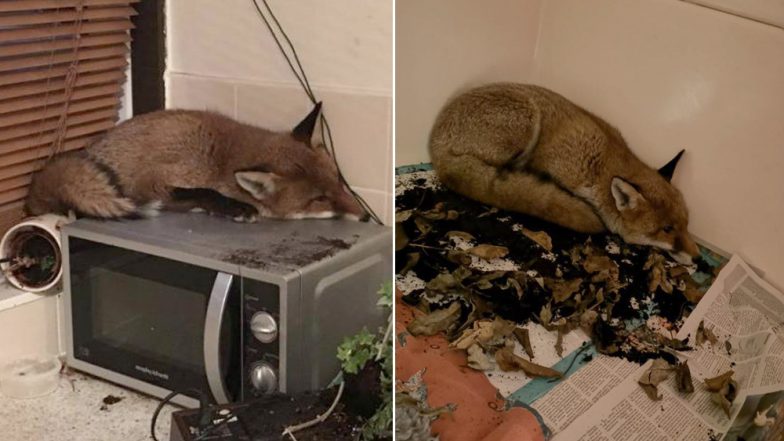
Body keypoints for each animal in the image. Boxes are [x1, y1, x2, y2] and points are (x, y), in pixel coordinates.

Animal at [25, 103, 368, 222]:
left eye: (338, 181)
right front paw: (236, 208)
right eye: (319, 199)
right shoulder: (154, 182)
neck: (220, 159)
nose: (366, 217)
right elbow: (204, 193)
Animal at [429, 83, 699, 264]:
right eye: (667, 229)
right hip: (527, 123)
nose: (697, 259)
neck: (601, 166)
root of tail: (435, 144)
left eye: (686, 225)